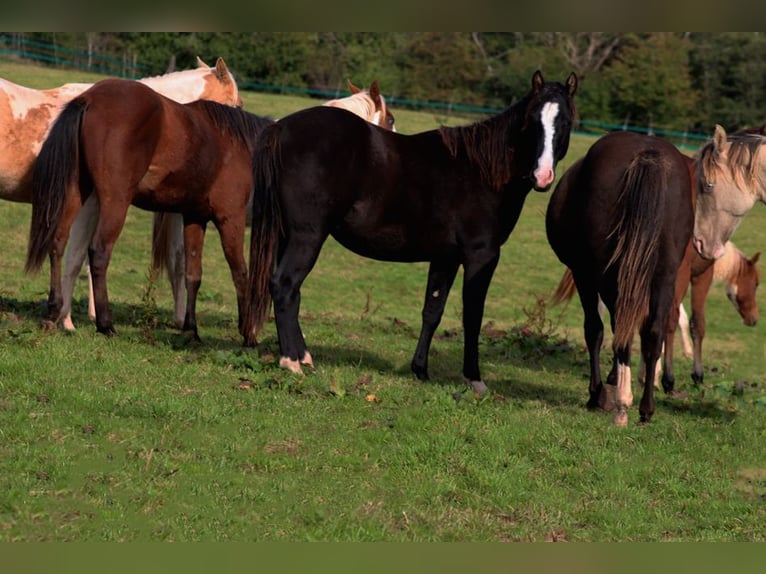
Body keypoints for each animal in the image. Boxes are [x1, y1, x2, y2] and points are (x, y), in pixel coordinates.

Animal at [243, 70, 578, 393]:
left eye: (565, 122)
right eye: (532, 121)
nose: (542, 176)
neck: (481, 171)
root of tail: (282, 128)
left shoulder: (445, 258)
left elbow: (432, 311)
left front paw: (420, 370)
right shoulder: (481, 256)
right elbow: (473, 316)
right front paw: (474, 379)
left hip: (288, 236)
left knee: (291, 292)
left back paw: (303, 356)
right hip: (307, 237)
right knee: (285, 285)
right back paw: (291, 362)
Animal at [546, 131, 694, 426]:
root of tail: (647, 153)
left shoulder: (584, 275)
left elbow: (595, 330)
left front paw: (598, 393)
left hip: (609, 278)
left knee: (621, 332)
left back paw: (622, 406)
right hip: (663, 276)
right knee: (653, 333)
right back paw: (645, 409)